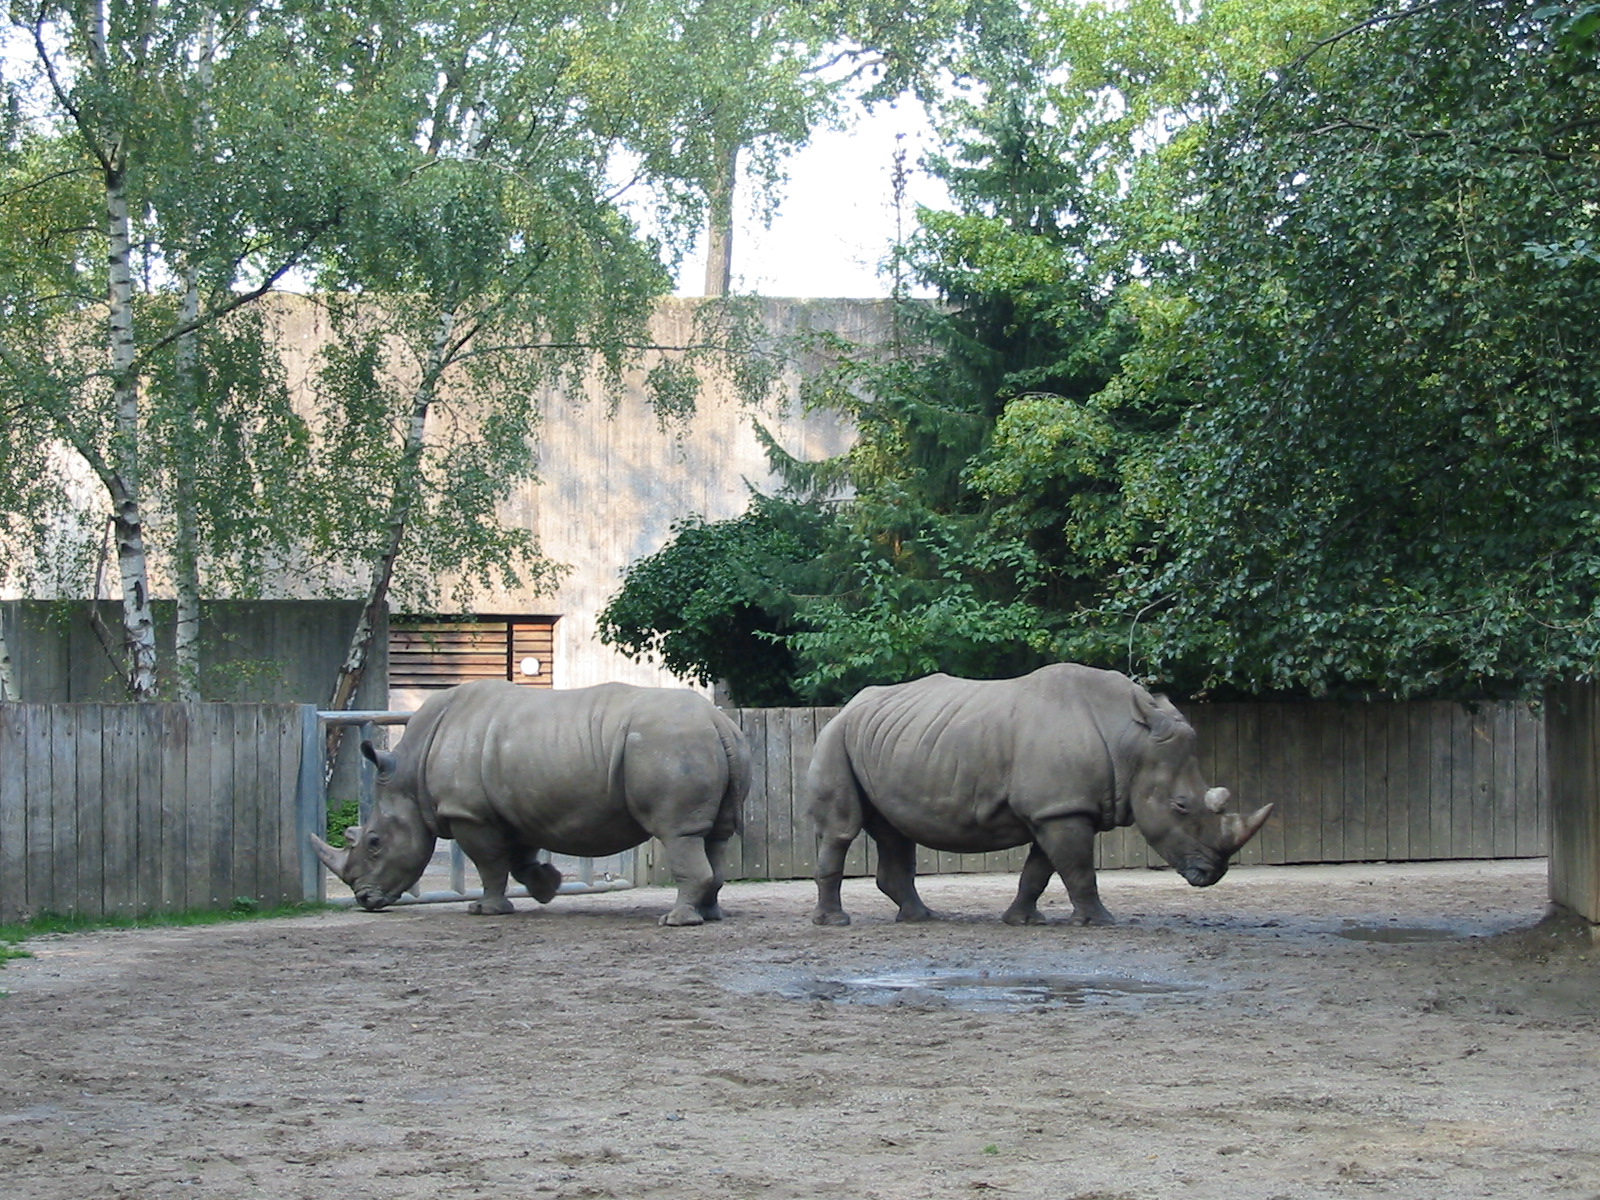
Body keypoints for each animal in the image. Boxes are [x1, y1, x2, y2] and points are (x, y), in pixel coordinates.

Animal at [311, 679, 750, 926]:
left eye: (373, 843)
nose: (364, 900)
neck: (409, 772)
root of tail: (719, 721)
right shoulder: (513, 808)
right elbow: (519, 858)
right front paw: (546, 888)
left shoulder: (471, 814)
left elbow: (489, 864)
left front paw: (485, 911)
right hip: (710, 744)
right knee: (716, 837)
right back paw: (708, 915)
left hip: (672, 745)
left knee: (679, 834)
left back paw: (675, 921)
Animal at [808, 664, 1273, 927]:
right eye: (1181, 806)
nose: (1213, 873)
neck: (1129, 738)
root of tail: (850, 705)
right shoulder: (1061, 810)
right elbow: (1079, 869)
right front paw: (1101, 923)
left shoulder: (1059, 809)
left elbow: (1042, 870)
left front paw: (1023, 921)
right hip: (835, 734)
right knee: (843, 830)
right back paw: (836, 923)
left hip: (887, 739)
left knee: (894, 831)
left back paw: (921, 919)